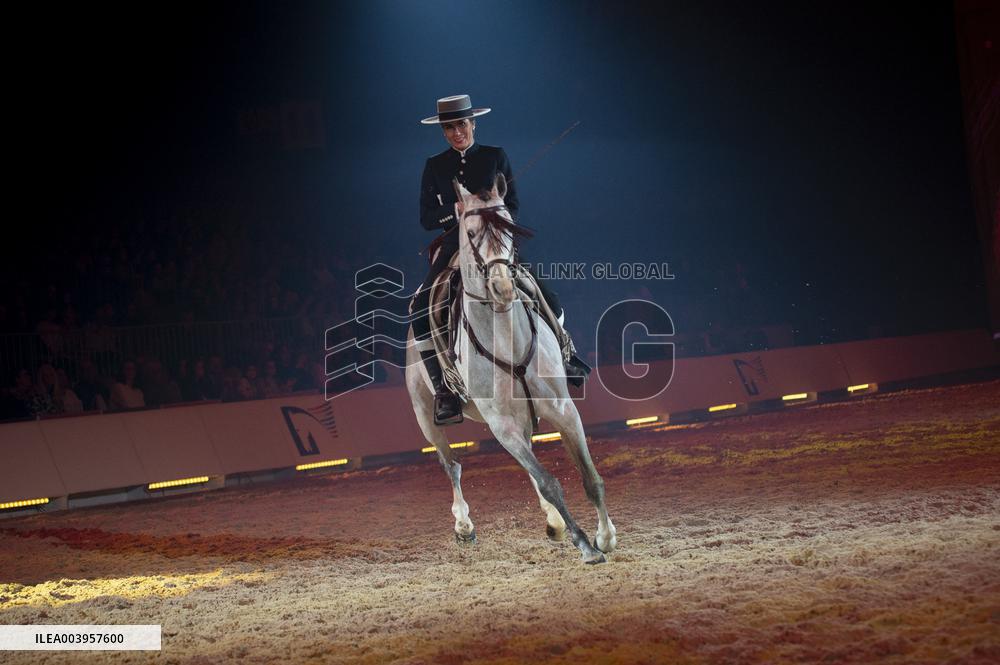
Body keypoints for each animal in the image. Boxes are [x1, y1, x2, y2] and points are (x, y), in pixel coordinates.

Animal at [404, 173, 617, 564]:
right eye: (470, 232)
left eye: (510, 229)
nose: (502, 286)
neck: (506, 336)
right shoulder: (502, 426)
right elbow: (549, 482)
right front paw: (585, 545)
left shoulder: (563, 410)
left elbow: (590, 478)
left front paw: (606, 536)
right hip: (426, 414)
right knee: (451, 465)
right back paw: (464, 527)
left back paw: (553, 522)